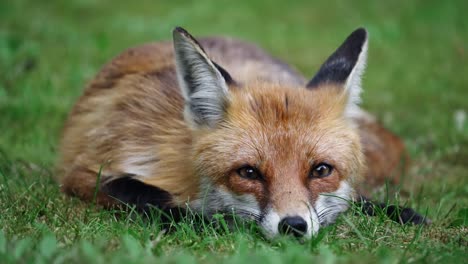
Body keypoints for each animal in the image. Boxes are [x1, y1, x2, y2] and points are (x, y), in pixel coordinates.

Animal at [56, 27, 430, 239]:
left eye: (321, 170)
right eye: (248, 173)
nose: (293, 226)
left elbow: (353, 197)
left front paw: (396, 212)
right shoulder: (87, 171)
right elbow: (147, 197)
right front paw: (207, 222)